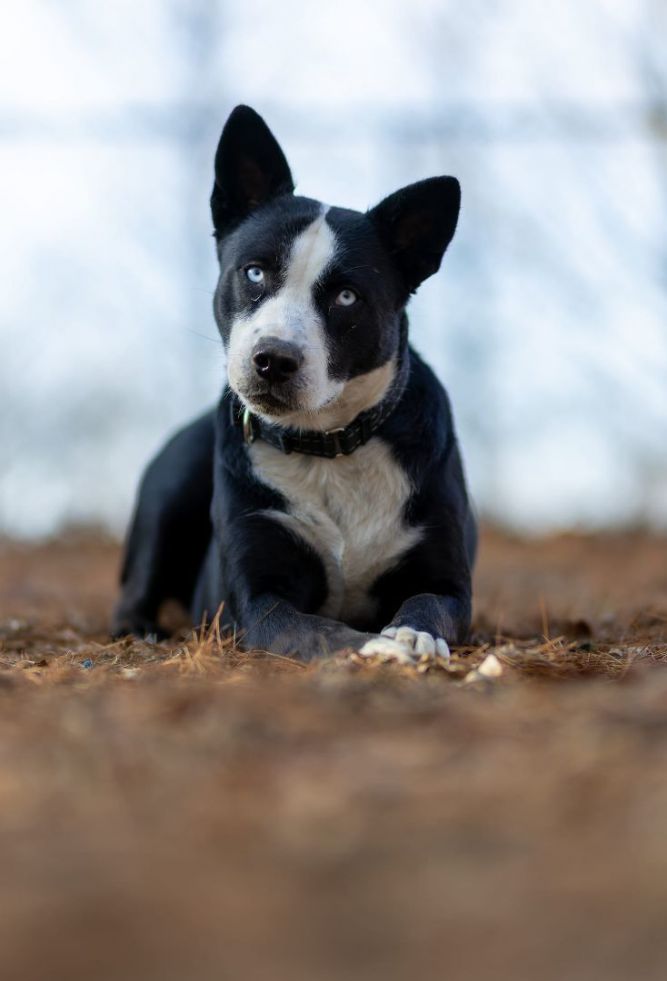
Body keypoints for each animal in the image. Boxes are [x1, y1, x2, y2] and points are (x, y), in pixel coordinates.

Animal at [116, 103, 480, 664]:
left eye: (347, 296)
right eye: (255, 273)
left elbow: (429, 604)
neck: (327, 448)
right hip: (170, 487)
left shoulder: (447, 580)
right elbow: (312, 628)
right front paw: (374, 644)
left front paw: (409, 635)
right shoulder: (255, 598)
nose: (273, 359)